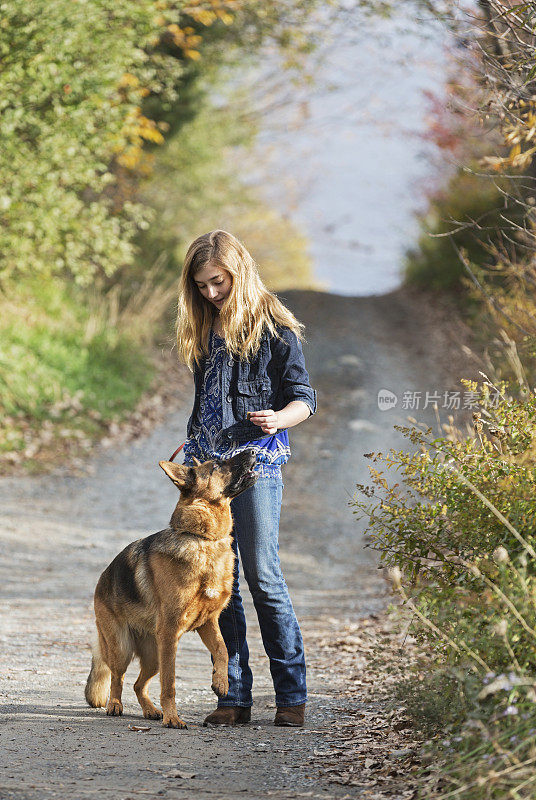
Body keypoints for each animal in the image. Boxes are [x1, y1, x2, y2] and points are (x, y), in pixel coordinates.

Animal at [85, 454, 258, 728]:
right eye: (216, 465)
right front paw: (173, 718)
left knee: (138, 684)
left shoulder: (207, 623)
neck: (203, 540)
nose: (252, 450)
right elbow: (170, 684)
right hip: (124, 648)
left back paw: (150, 710)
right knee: (117, 677)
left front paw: (221, 682)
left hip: (154, 655)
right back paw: (115, 705)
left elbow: (223, 650)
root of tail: (102, 578)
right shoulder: (169, 633)